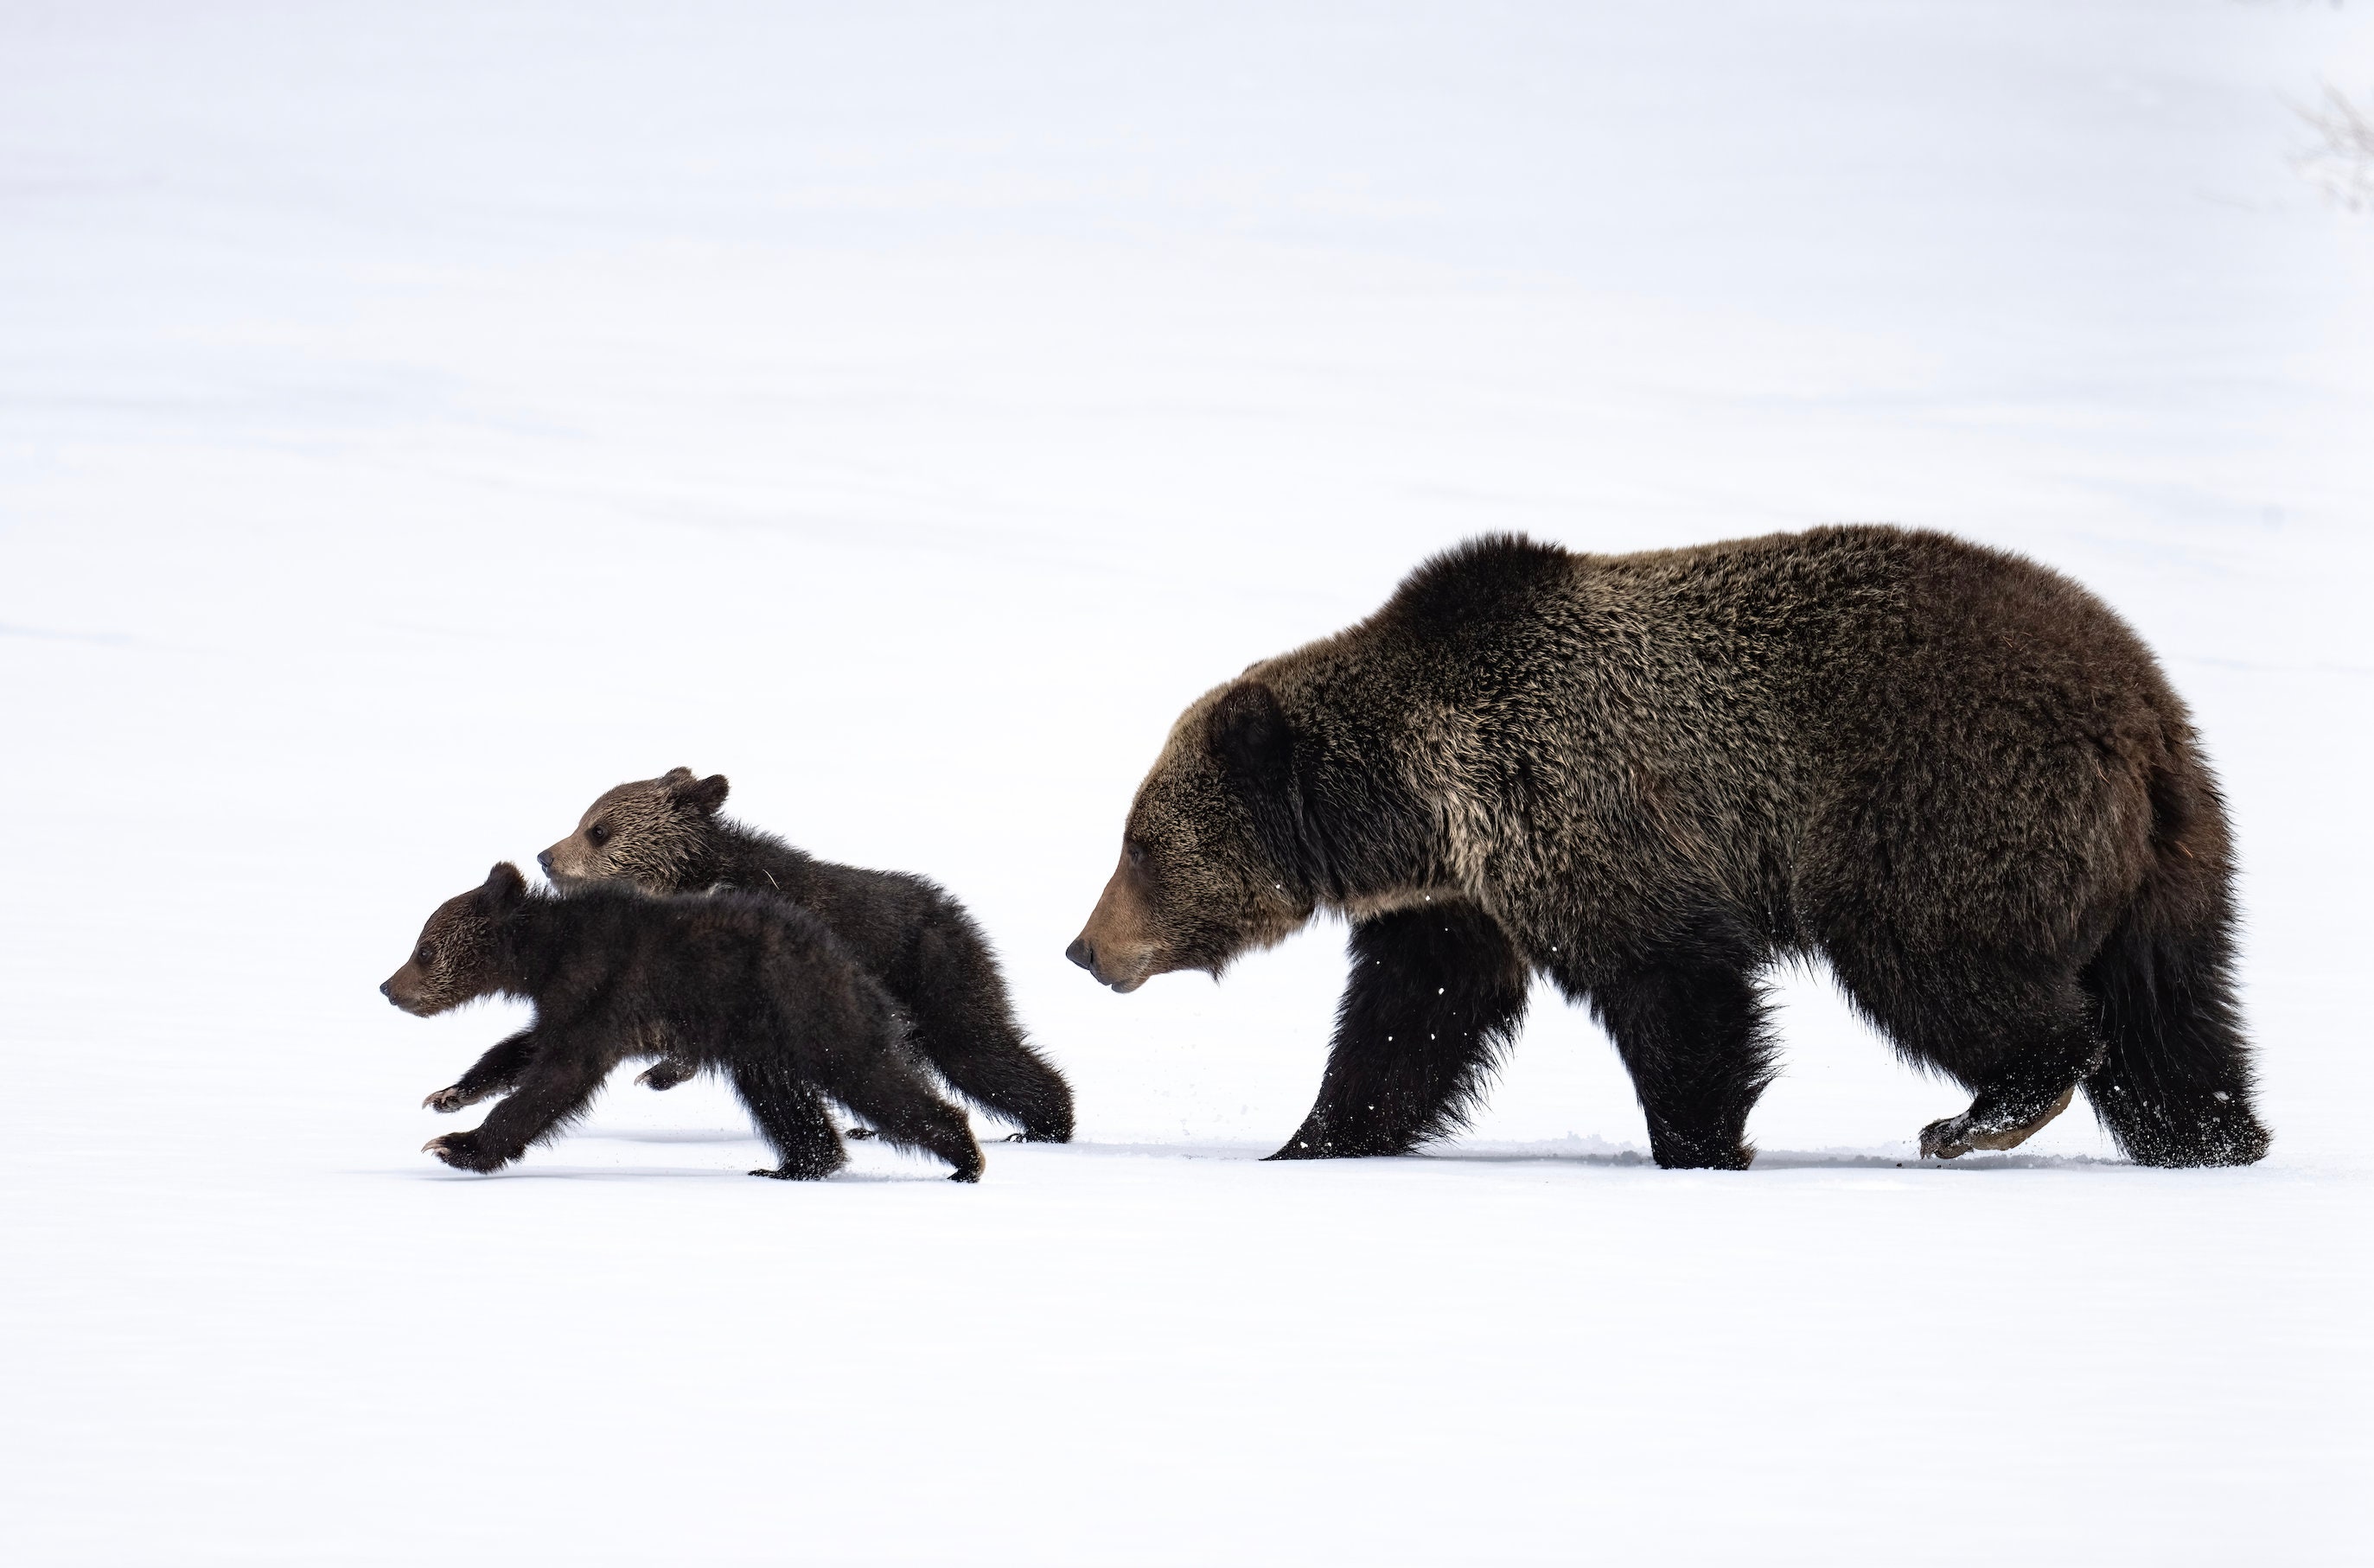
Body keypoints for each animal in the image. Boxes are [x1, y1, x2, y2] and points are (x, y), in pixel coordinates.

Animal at [385, 863, 985, 1182]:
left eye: (425, 949)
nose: (388, 988)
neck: (547, 956)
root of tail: (851, 963)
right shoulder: (569, 1000)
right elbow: (523, 1048)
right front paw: (449, 1095)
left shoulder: (604, 986)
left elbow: (556, 1076)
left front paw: (456, 1146)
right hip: (761, 1038)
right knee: (782, 1100)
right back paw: (795, 1164)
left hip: (810, 1011)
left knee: (873, 1078)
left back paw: (964, 1157)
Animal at [510, 768, 1074, 1143]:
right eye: (585, 819)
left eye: (598, 829)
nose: (545, 857)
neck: (690, 882)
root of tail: (956, 911)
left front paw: (658, 1073)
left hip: (933, 972)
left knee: (978, 1050)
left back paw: (1046, 1122)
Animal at [1065, 525, 2270, 1170]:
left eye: (1139, 842)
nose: (1083, 946)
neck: (1416, 800)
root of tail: (2142, 707)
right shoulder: (1462, 896)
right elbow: (1411, 1020)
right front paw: (1312, 1137)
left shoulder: (1575, 809)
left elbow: (1676, 987)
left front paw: (1699, 1140)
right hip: (2171, 863)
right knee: (2173, 1011)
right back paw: (2212, 1137)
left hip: (1937, 812)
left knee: (1946, 966)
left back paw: (1981, 1112)